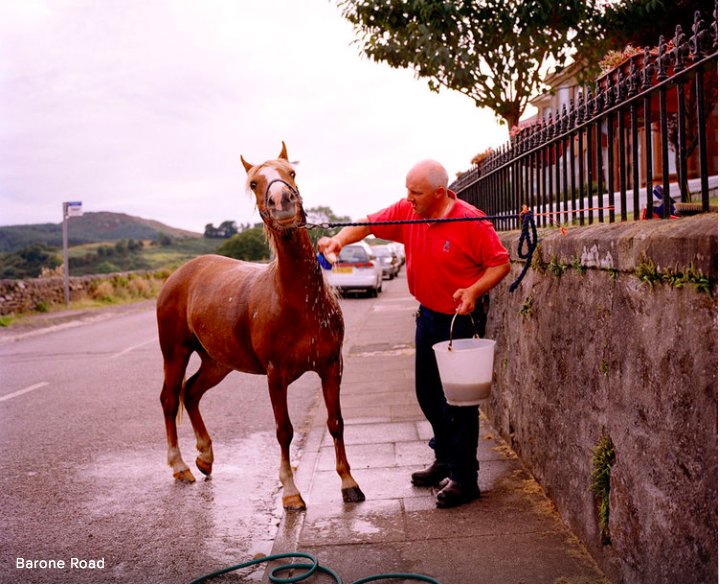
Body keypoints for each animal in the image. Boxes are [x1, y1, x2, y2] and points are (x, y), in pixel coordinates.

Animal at [156, 142, 365, 510]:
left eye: (291, 172)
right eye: (254, 183)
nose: (282, 201)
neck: (297, 301)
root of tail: (178, 275)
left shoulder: (331, 366)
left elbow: (336, 422)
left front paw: (348, 482)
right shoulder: (275, 374)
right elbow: (284, 430)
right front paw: (291, 491)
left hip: (217, 362)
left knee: (191, 392)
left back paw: (205, 457)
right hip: (175, 353)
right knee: (170, 399)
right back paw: (180, 466)